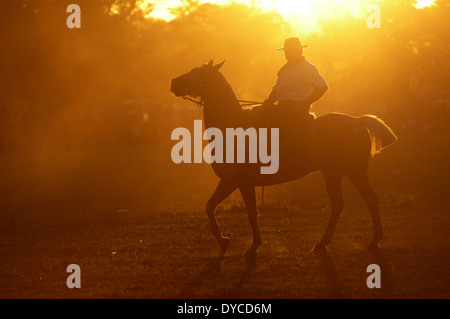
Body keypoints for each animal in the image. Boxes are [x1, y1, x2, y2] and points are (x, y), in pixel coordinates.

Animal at [171, 60, 398, 262]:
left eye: (200, 73)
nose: (173, 82)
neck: (233, 127)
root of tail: (358, 121)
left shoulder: (235, 182)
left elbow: (227, 209)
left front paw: (233, 242)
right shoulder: (240, 183)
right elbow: (231, 209)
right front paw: (241, 243)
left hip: (354, 171)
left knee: (370, 198)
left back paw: (373, 241)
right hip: (333, 172)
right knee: (339, 204)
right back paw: (322, 244)